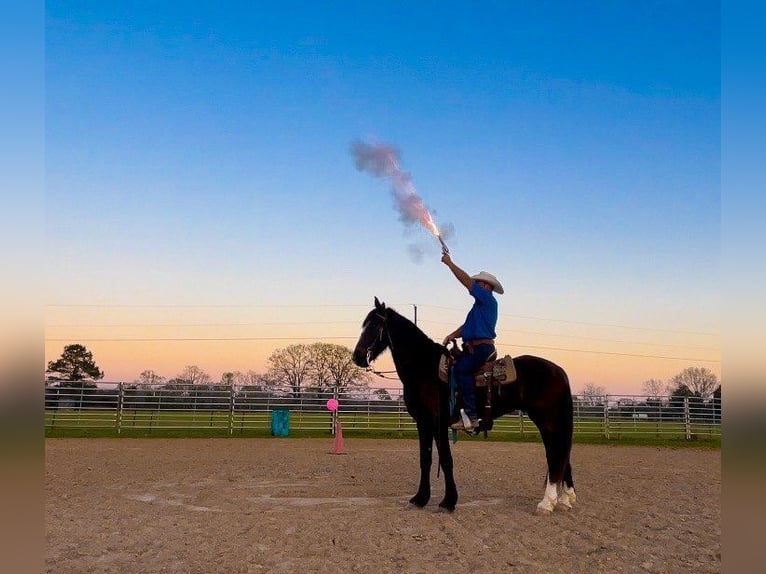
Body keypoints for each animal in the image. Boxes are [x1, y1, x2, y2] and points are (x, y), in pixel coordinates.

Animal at [354, 300, 576, 516]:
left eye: (373, 325)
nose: (357, 356)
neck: (425, 369)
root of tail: (559, 371)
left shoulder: (438, 423)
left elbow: (445, 460)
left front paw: (447, 502)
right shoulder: (423, 423)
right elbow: (425, 459)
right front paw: (419, 499)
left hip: (547, 422)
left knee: (555, 455)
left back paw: (547, 503)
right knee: (562, 454)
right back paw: (564, 500)